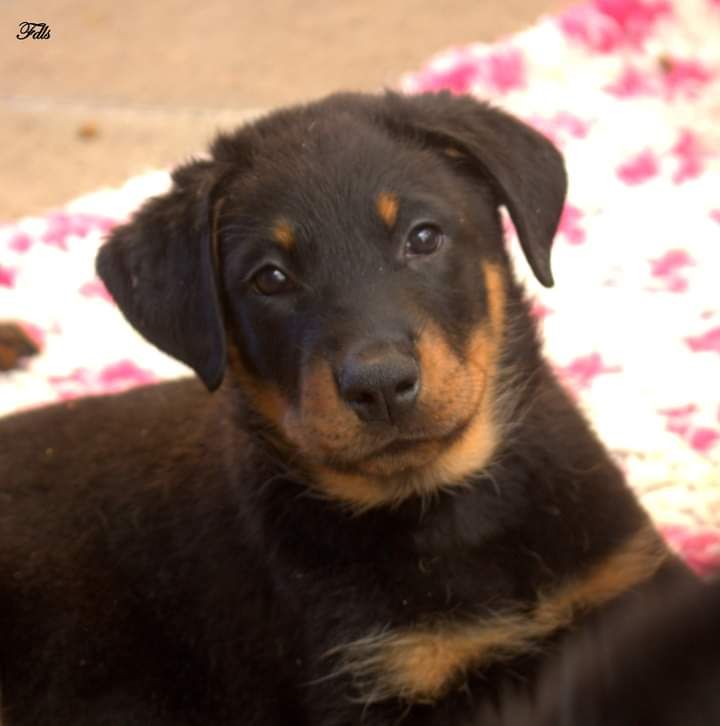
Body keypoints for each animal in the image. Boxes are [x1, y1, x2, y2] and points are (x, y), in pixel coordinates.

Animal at [0, 94, 692, 724]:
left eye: (423, 237)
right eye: (270, 278)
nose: (380, 384)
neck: (449, 510)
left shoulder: (631, 579)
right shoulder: (382, 682)